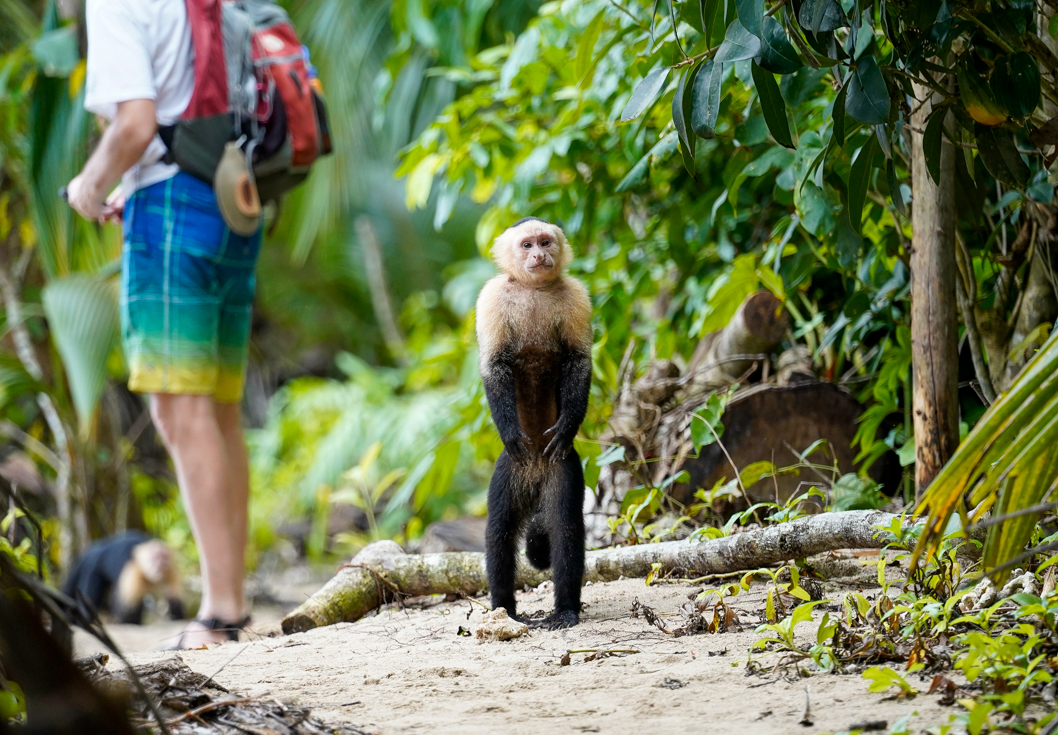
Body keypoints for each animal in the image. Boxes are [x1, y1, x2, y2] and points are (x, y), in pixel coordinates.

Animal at [475, 216, 593, 629]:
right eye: (527, 245)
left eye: (545, 242)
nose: (540, 256)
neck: (534, 289)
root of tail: (537, 472)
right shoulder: (491, 296)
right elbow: (493, 364)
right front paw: (511, 432)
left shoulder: (577, 295)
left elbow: (579, 361)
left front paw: (566, 427)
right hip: (511, 470)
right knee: (500, 529)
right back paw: (504, 609)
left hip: (563, 468)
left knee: (564, 526)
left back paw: (565, 609)